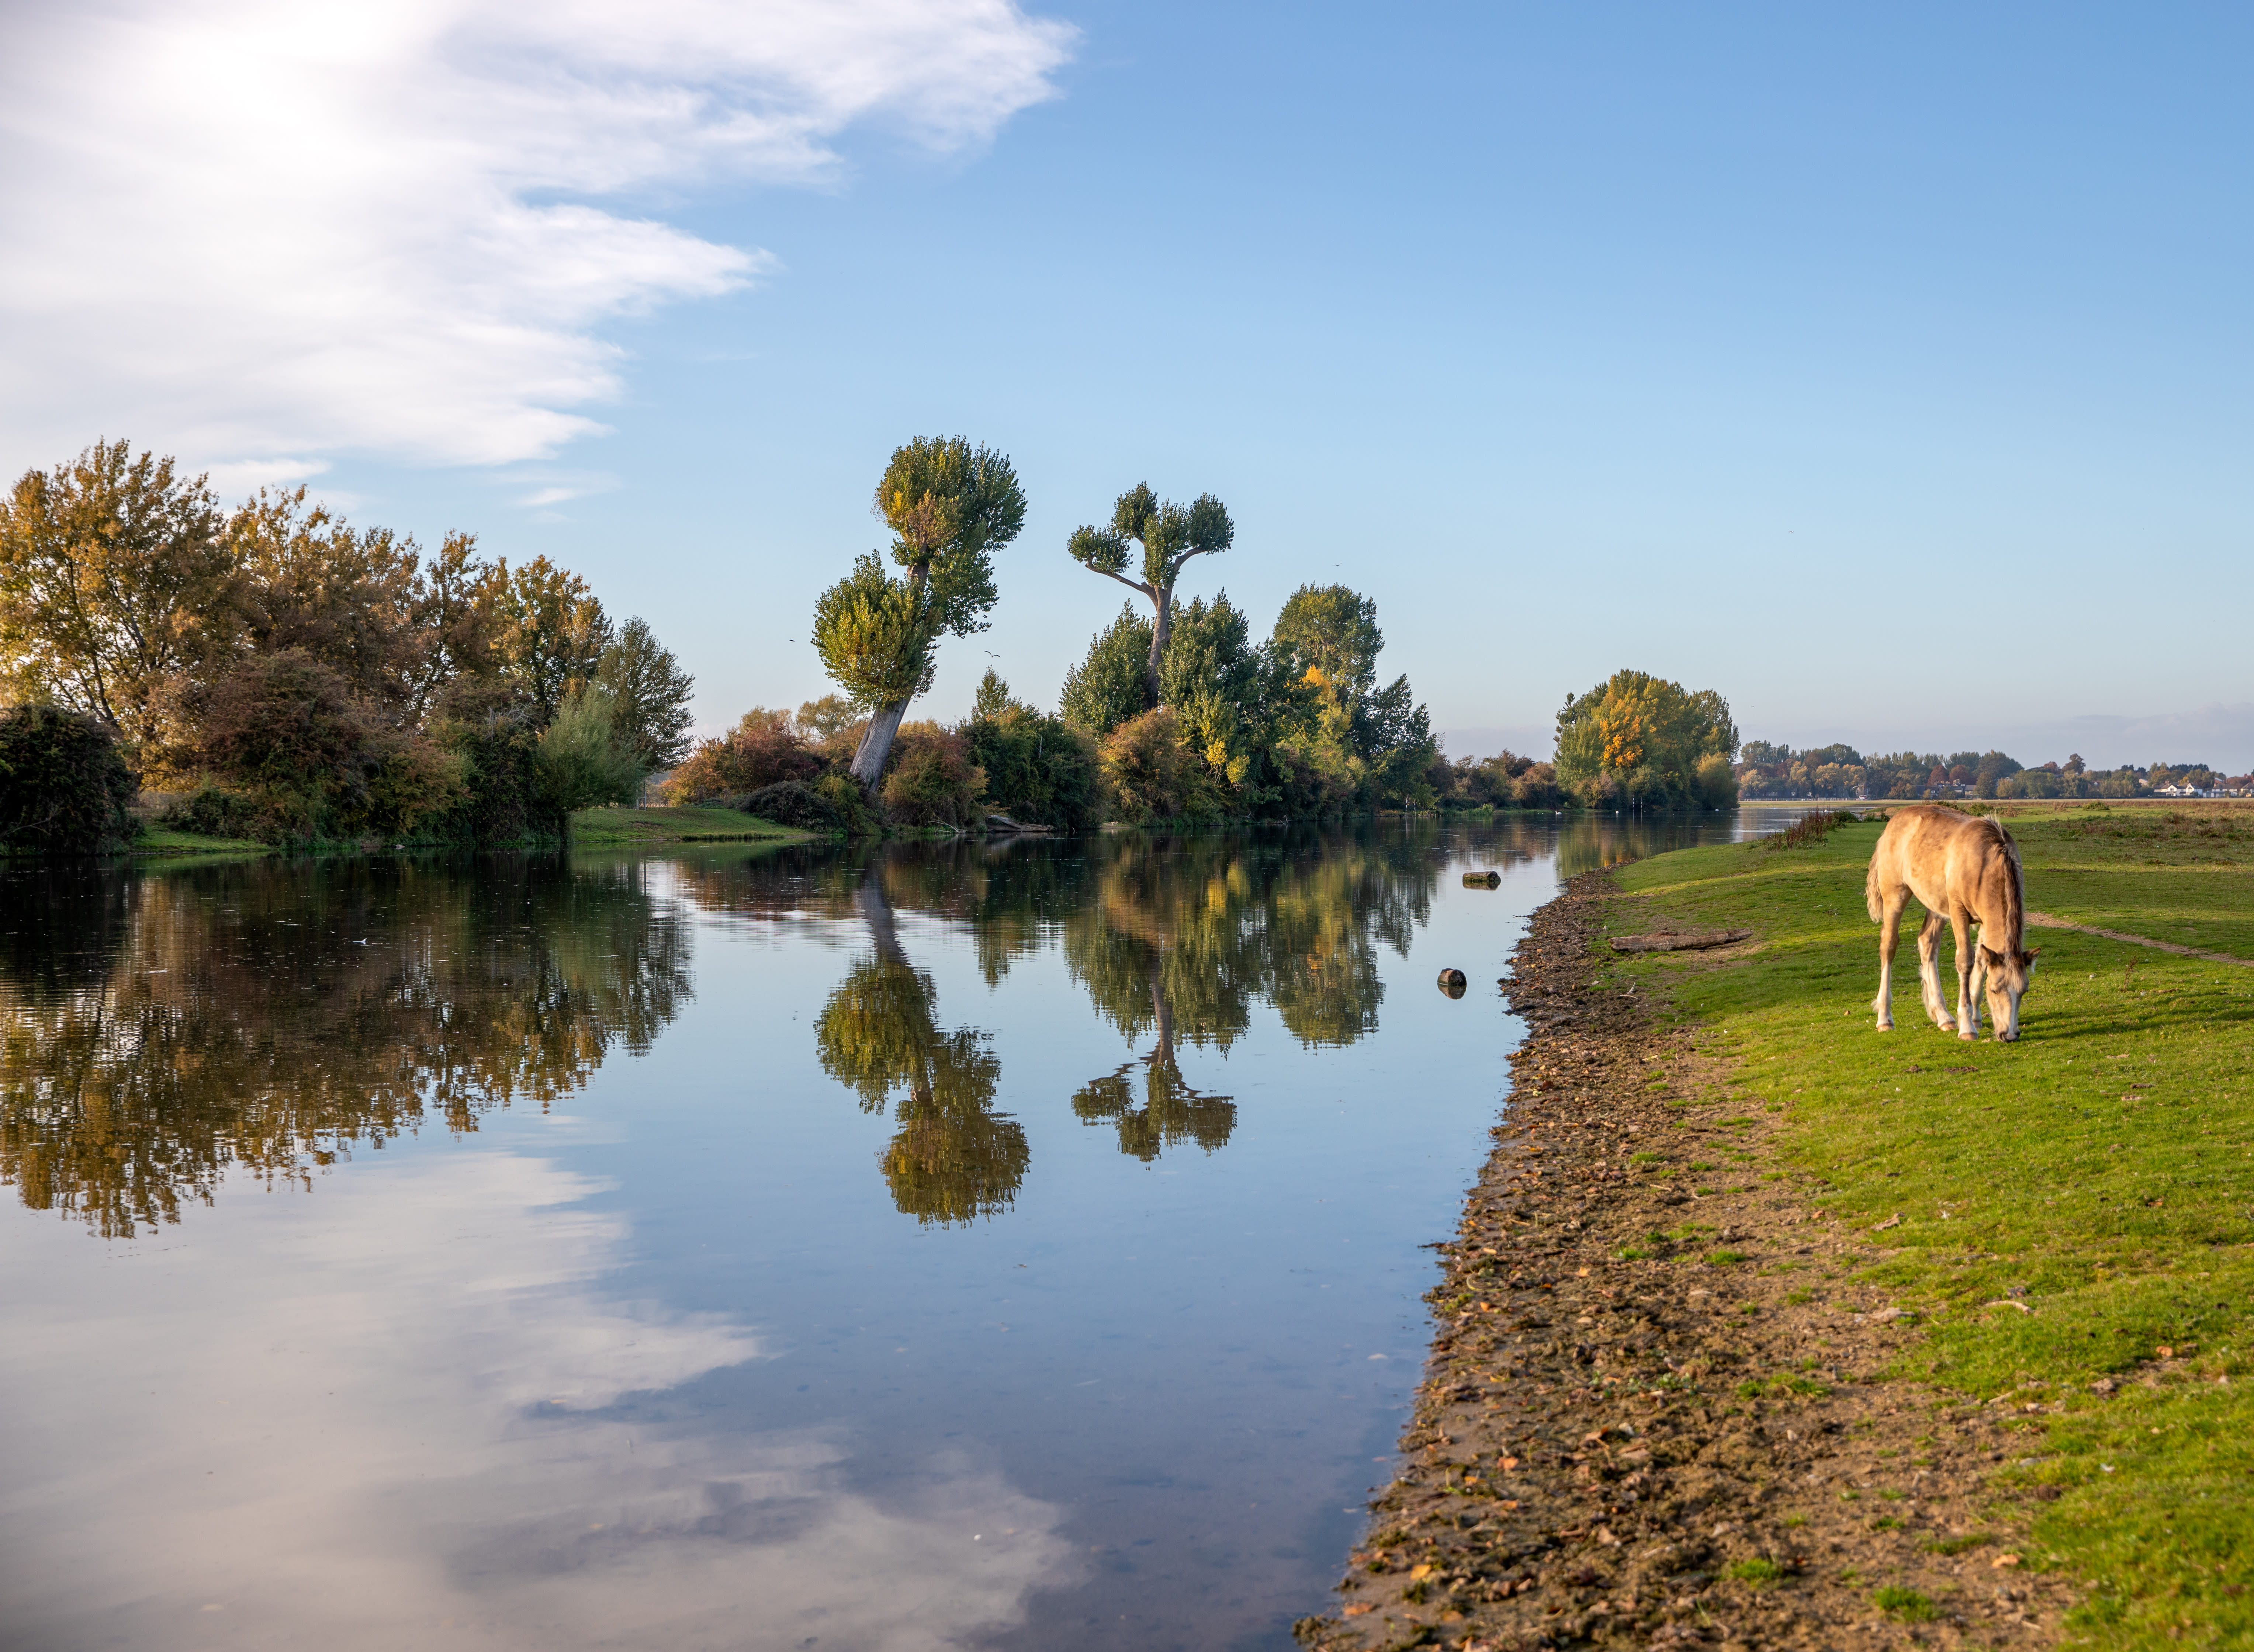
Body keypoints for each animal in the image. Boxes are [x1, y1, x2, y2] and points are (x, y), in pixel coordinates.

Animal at [1865, 805, 2038, 1041]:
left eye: (2023, 991)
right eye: (1995, 989)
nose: (2010, 1035)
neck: (1983, 862)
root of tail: (1893, 823)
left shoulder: (1985, 921)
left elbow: (1981, 962)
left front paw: (1976, 1018)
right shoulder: (1958, 912)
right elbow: (1965, 961)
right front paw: (1967, 1027)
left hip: (1937, 906)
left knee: (1927, 944)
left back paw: (1943, 1017)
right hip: (1895, 896)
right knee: (1888, 946)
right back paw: (1885, 1019)